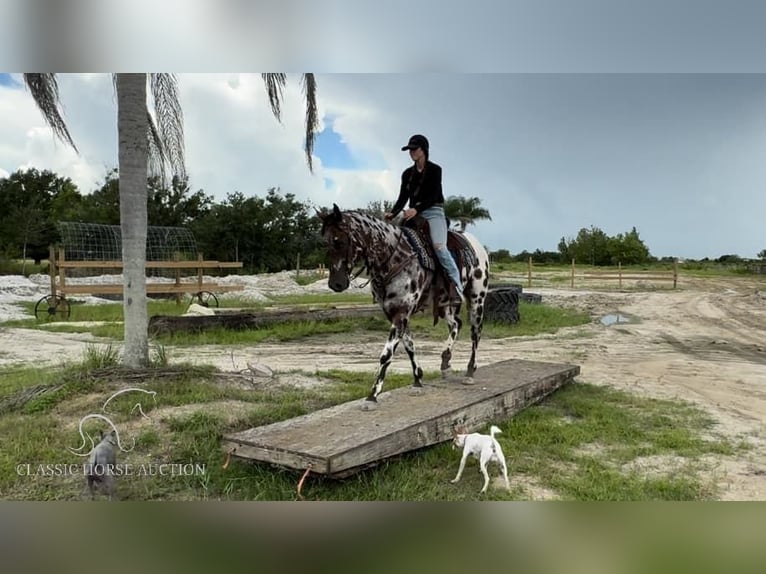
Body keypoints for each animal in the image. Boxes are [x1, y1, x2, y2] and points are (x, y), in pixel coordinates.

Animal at [320, 205, 492, 412]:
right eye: (325, 242)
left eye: (340, 241)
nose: (335, 284)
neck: (394, 258)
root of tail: (477, 246)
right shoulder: (395, 313)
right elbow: (409, 346)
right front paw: (417, 381)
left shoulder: (401, 313)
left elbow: (386, 355)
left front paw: (372, 396)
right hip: (445, 305)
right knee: (456, 324)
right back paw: (445, 362)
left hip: (476, 299)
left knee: (476, 333)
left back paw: (469, 372)